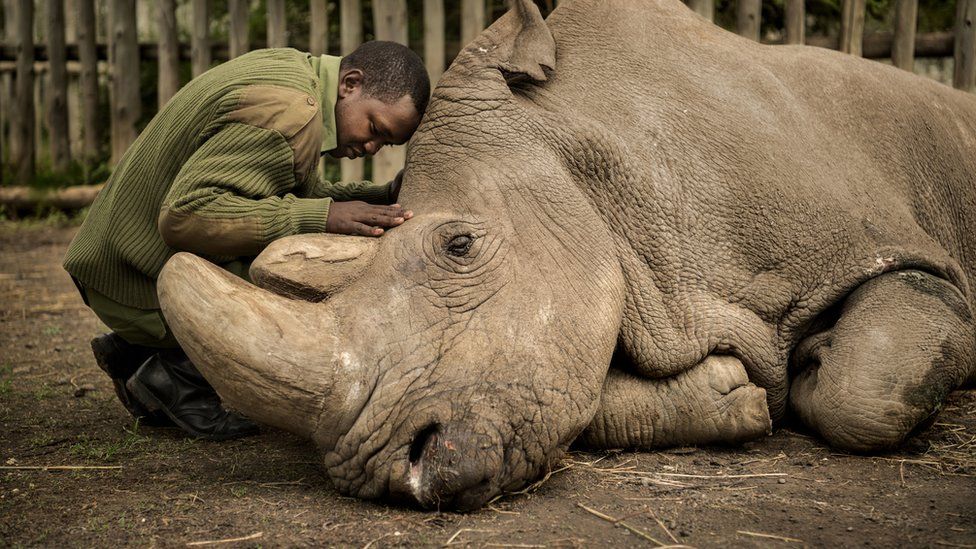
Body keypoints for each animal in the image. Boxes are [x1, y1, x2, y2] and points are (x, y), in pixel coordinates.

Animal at [157, 0, 976, 510]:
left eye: (459, 245)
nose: (394, 471)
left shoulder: (892, 250)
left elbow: (864, 390)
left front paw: (815, 365)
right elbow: (579, 390)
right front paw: (734, 392)